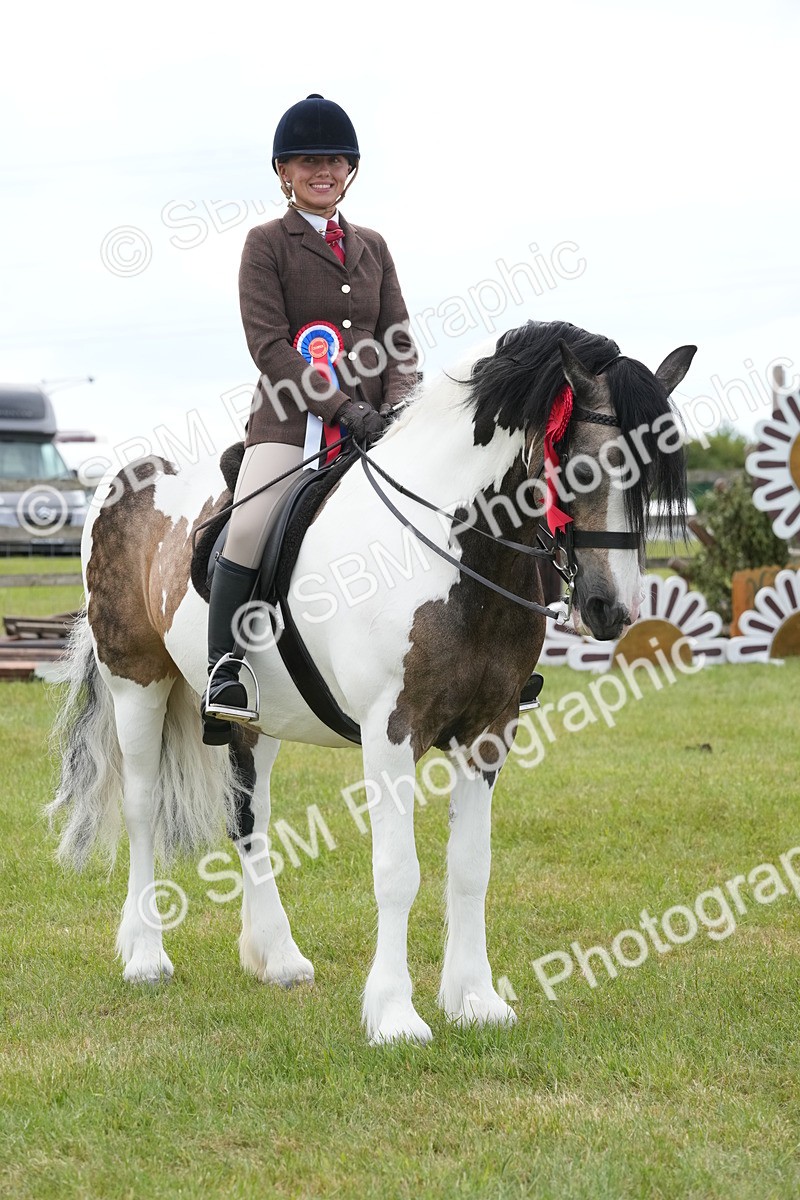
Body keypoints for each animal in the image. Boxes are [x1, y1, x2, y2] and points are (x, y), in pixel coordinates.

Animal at [49, 320, 694, 1045]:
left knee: (249, 816)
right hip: (136, 683)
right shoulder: (392, 730)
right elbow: (397, 873)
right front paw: (394, 1015)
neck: (454, 550)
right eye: (584, 468)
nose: (611, 610)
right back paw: (145, 955)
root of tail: (128, 478)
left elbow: (470, 867)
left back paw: (277, 957)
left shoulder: (490, 730)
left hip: (255, 718)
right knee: (141, 807)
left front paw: (475, 999)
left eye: (653, 482)